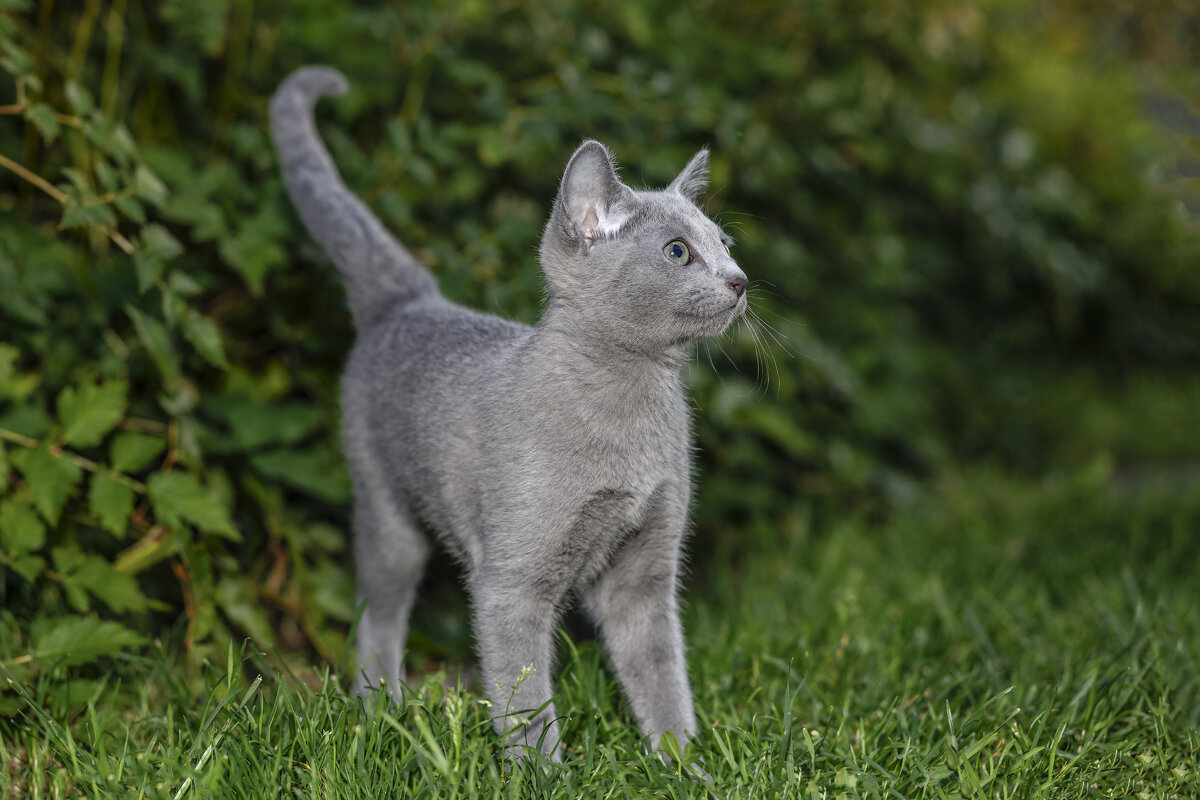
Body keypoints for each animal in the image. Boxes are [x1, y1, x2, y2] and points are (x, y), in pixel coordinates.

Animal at [268, 65, 744, 762]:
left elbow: (662, 677)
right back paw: (380, 711)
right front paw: (544, 773)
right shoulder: (510, 581)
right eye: (679, 252)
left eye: (726, 244)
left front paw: (682, 766)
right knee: (379, 614)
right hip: (386, 509)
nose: (741, 280)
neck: (632, 402)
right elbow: (525, 700)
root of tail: (414, 302)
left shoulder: (645, 574)